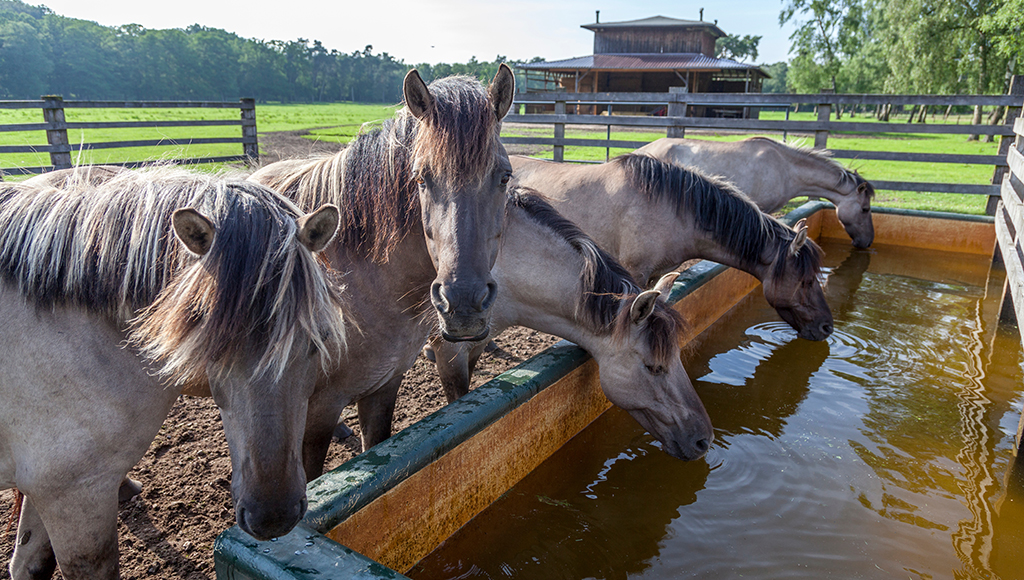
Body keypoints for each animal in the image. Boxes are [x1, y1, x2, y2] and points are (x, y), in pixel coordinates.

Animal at [0, 166, 346, 577]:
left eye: (318, 337)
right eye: (206, 337)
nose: (272, 517)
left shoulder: (47, 487)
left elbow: (28, 564)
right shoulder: (75, 495)